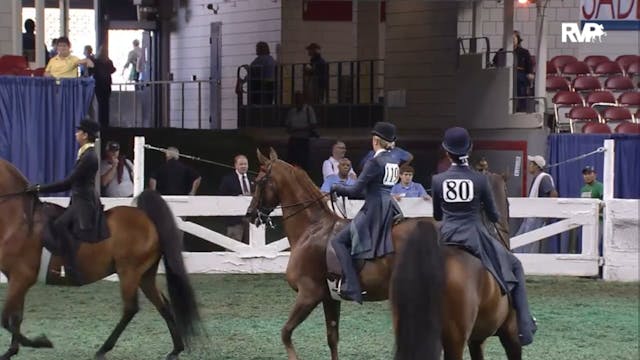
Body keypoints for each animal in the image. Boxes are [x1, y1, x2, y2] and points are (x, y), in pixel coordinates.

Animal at [0, 160, 199, 360]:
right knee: (163, 305)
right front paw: (11, 351)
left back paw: (103, 349)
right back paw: (175, 350)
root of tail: (146, 218)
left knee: (130, 309)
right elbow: (15, 317)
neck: (19, 221)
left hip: (129, 272)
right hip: (145, 275)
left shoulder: (21, 277)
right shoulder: (17, 279)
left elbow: (6, 319)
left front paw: (41, 342)